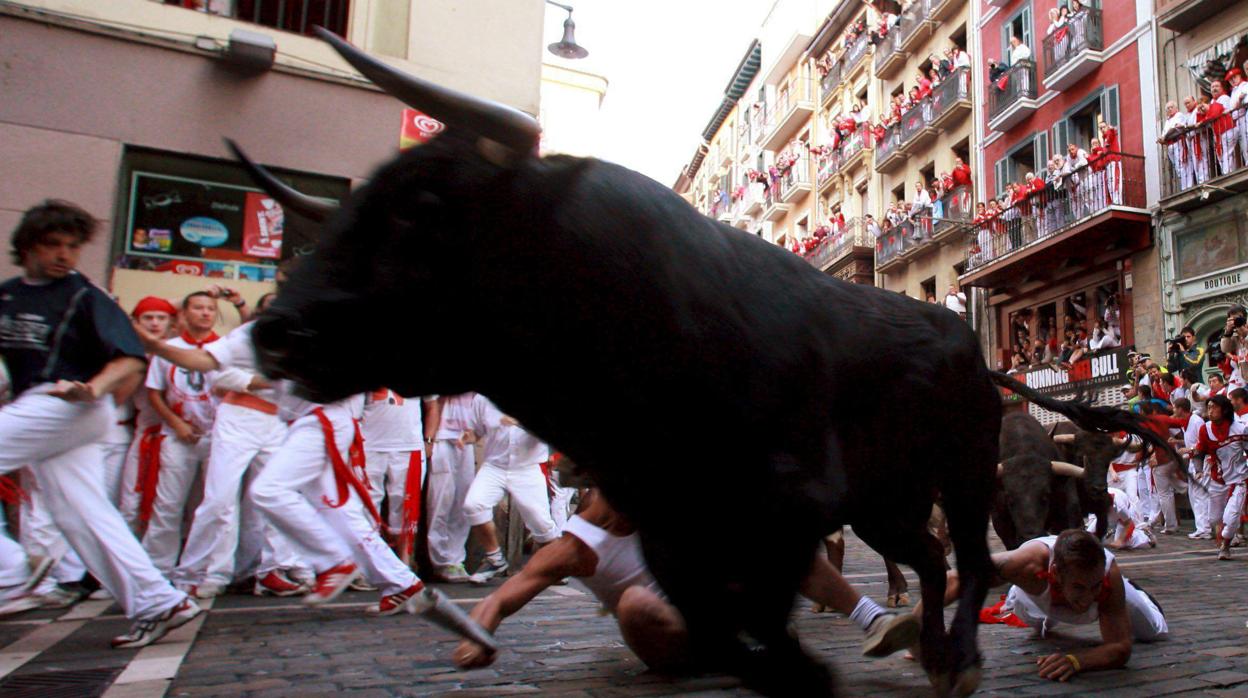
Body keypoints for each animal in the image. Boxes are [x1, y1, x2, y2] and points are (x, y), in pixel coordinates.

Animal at [235, 28, 1178, 698]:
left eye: (424, 204)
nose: (275, 331)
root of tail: (968, 349)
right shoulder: (676, 524)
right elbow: (723, 628)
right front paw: (804, 669)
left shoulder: (787, 511)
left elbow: (755, 618)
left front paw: (811, 670)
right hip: (885, 500)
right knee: (934, 559)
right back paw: (936, 652)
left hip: (961, 470)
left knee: (973, 559)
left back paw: (962, 659)